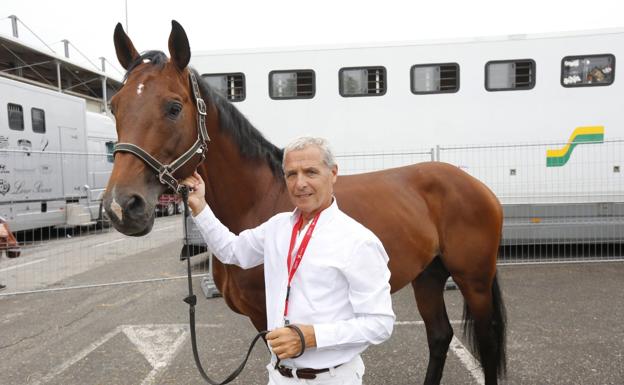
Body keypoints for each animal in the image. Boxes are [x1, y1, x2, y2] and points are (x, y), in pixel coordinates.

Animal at [103, 21, 508, 384]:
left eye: (173, 107)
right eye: (114, 106)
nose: (123, 207)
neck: (256, 202)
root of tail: (475, 184)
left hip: (473, 279)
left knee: (486, 345)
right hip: (428, 275)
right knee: (440, 336)